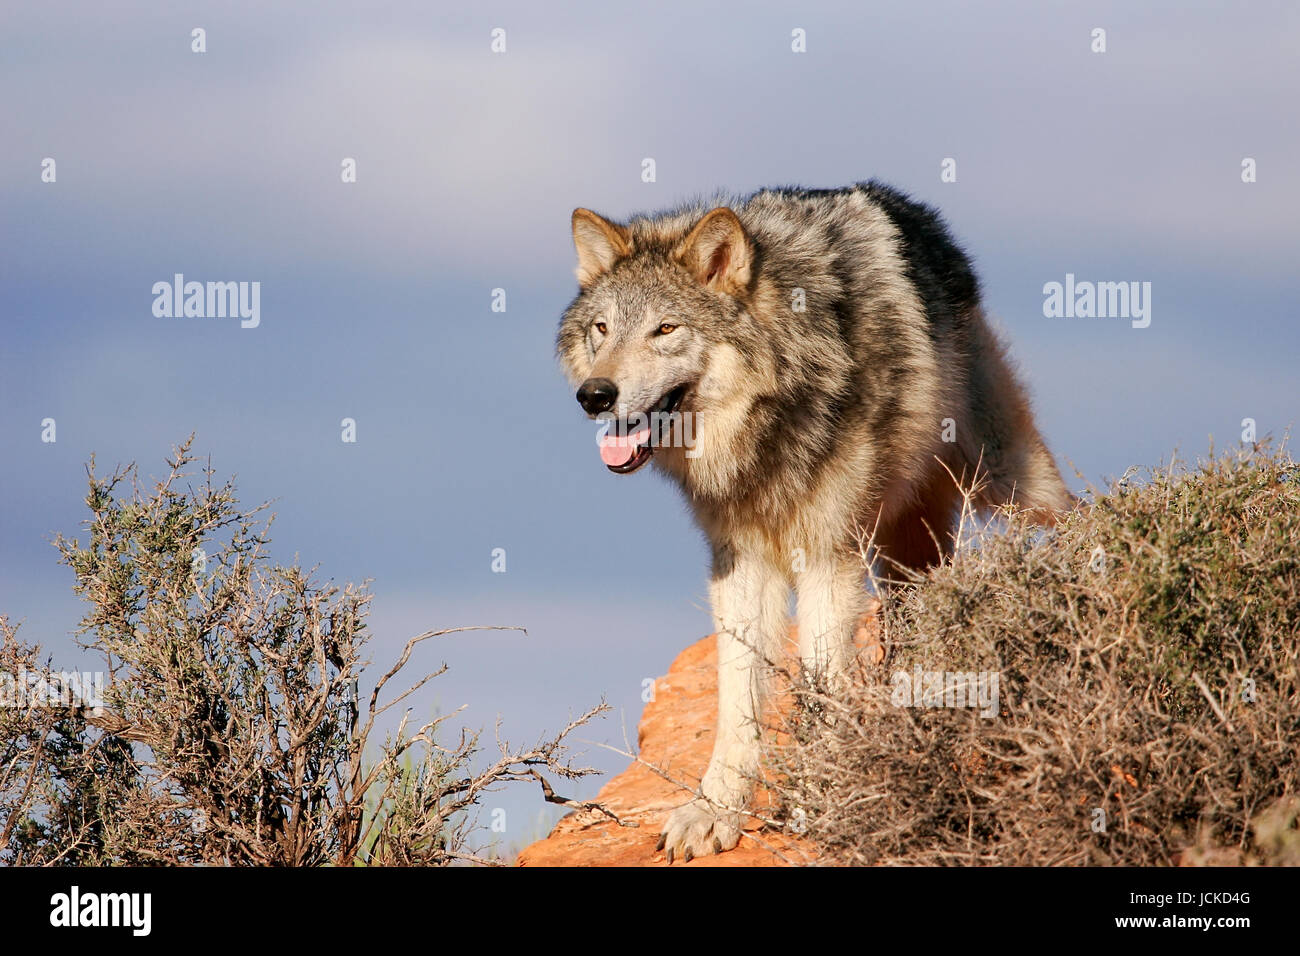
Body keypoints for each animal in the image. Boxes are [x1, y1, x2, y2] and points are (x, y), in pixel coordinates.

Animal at [553, 179, 1071, 858]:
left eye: (665, 329)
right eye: (602, 329)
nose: (595, 395)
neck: (773, 413)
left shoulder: (829, 556)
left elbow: (822, 687)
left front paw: (818, 801)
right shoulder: (741, 564)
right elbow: (737, 703)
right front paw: (714, 812)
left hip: (1006, 481)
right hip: (907, 551)